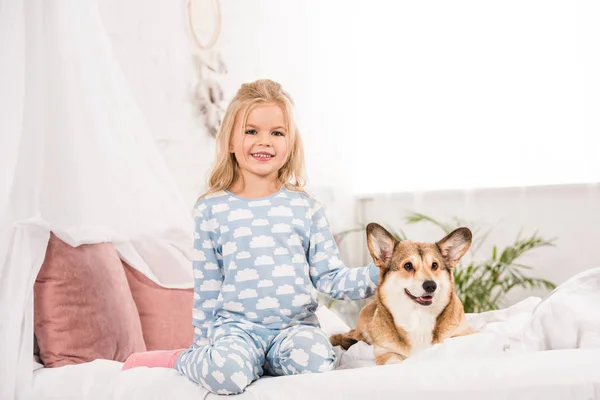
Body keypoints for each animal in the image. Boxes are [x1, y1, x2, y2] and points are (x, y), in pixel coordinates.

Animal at [328, 223, 474, 364]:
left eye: (434, 265)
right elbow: (394, 361)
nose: (431, 285)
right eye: (408, 266)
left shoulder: (463, 334)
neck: (418, 315)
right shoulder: (385, 352)